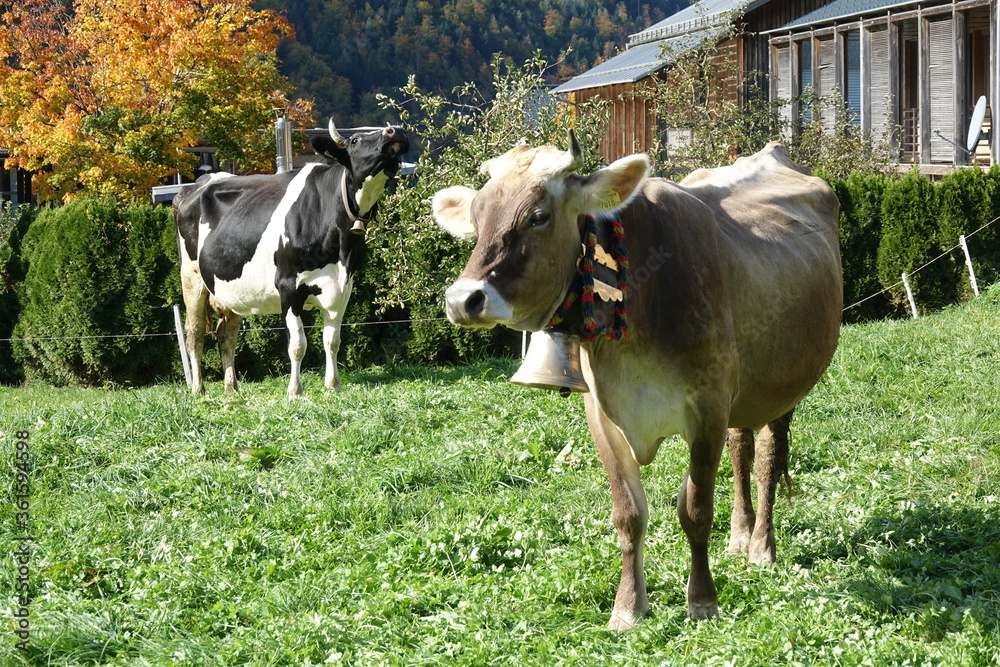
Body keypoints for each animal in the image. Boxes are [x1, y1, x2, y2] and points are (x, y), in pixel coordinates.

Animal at [174, 120, 408, 396]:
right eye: (355, 140)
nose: (396, 130)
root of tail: (194, 185)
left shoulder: (343, 286)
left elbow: (332, 341)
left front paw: (332, 385)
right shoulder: (288, 286)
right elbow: (297, 344)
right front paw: (294, 390)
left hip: (230, 289)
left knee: (226, 336)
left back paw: (232, 388)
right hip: (192, 278)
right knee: (195, 333)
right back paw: (197, 388)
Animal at [434, 137, 840, 632]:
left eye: (538, 216)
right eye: (476, 220)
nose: (463, 300)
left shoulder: (707, 406)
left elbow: (695, 509)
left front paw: (702, 601)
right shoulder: (603, 414)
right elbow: (628, 515)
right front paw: (628, 606)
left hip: (783, 385)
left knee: (765, 457)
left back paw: (762, 545)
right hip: (743, 390)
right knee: (740, 447)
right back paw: (740, 536)